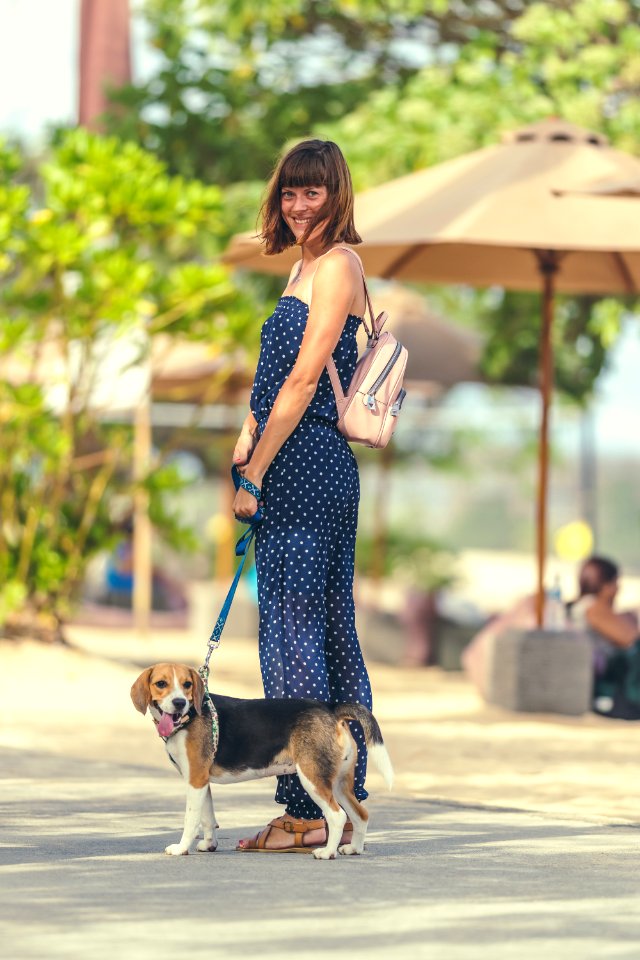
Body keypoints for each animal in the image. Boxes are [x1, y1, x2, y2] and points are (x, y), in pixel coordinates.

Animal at [130, 664, 392, 860]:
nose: (179, 703)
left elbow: (191, 819)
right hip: (338, 782)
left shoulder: (195, 779)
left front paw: (181, 848)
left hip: (313, 777)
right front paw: (209, 845)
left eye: (187, 685)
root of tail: (331, 708)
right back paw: (354, 848)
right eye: (161, 684)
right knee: (360, 814)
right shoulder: (201, 781)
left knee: (337, 816)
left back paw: (327, 852)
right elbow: (207, 817)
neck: (188, 717)